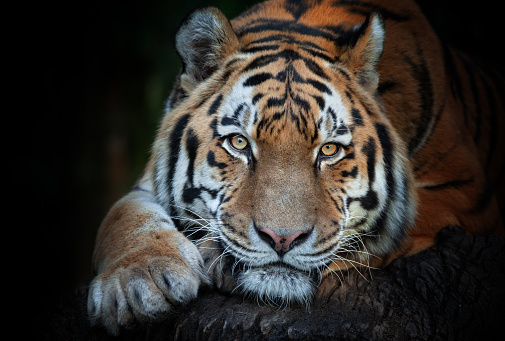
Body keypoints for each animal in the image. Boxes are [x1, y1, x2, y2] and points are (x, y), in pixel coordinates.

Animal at [85, 0, 500, 334]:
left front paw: (215, 257)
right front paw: (139, 284)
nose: (282, 239)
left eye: (329, 150)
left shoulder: (459, 193)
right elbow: (122, 217)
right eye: (239, 143)